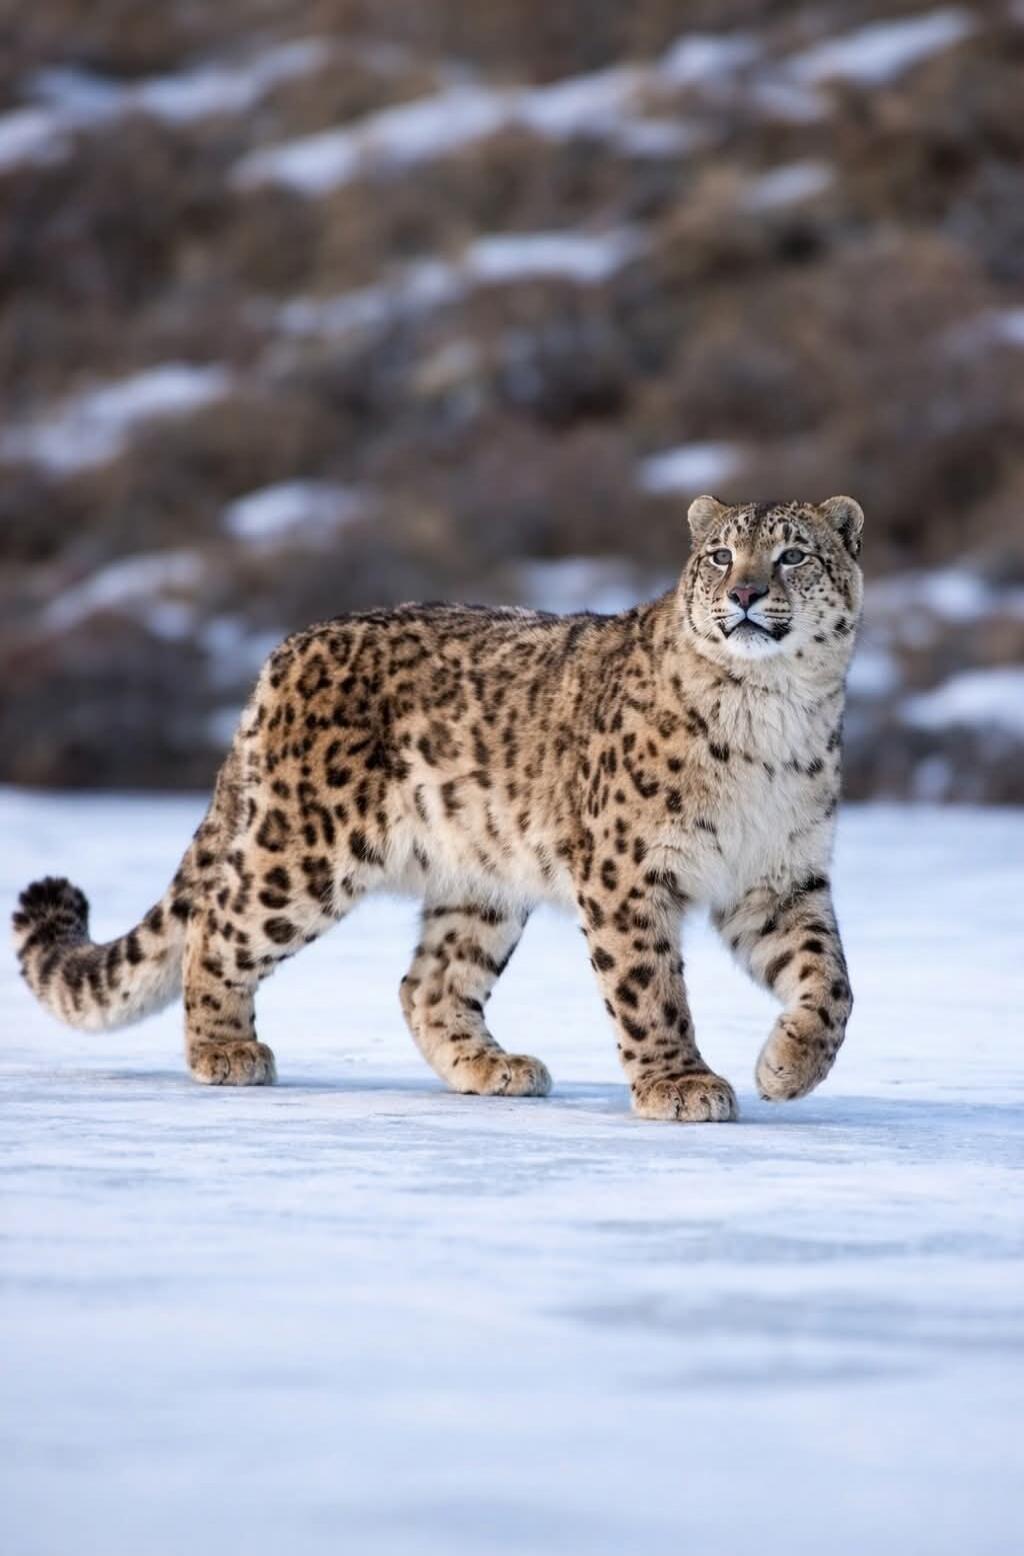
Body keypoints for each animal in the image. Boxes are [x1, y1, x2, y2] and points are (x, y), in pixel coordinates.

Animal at [13, 494, 864, 1122]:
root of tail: (285, 650)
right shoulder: (628, 871)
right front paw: (679, 1084)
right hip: (303, 852)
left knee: (428, 982)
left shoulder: (779, 874)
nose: (745, 593)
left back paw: (493, 1067)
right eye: (720, 555)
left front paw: (788, 1068)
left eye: (793, 555)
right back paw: (225, 1053)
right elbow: (648, 985)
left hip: (480, 880)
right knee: (218, 927)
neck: (770, 716)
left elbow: (831, 982)